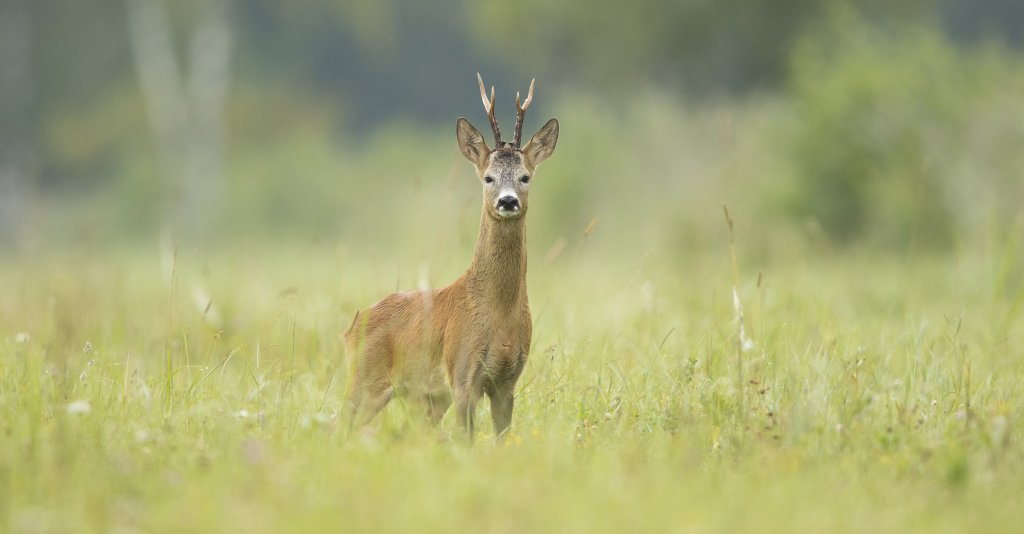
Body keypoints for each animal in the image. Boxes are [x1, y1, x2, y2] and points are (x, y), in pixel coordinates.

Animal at [342, 73, 559, 440]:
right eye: (488, 177)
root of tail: (352, 326)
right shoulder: (462, 373)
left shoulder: (508, 380)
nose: (508, 201)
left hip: (425, 400)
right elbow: (467, 440)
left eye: (525, 177)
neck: (498, 314)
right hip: (366, 380)